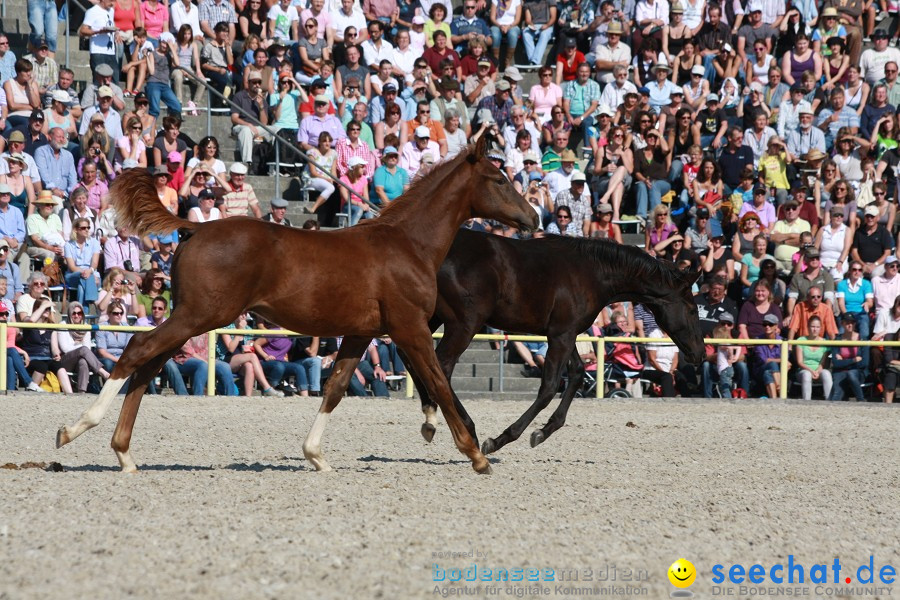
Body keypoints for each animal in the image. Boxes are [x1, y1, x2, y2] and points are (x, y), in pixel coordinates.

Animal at [56, 136, 536, 474]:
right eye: (499, 179)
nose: (532, 218)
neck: (408, 243)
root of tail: (195, 228)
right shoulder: (411, 329)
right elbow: (438, 381)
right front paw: (476, 453)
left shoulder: (361, 333)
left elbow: (336, 387)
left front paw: (316, 455)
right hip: (199, 316)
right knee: (137, 353)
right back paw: (75, 429)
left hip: (191, 319)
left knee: (148, 366)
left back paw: (124, 454)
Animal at [412, 230, 708, 454]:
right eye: (692, 309)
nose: (700, 354)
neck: (591, 272)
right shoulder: (561, 336)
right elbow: (549, 387)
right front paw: (502, 439)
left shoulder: (565, 333)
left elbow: (576, 375)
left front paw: (544, 431)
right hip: (464, 324)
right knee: (441, 366)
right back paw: (464, 428)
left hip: (434, 317)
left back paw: (433, 417)